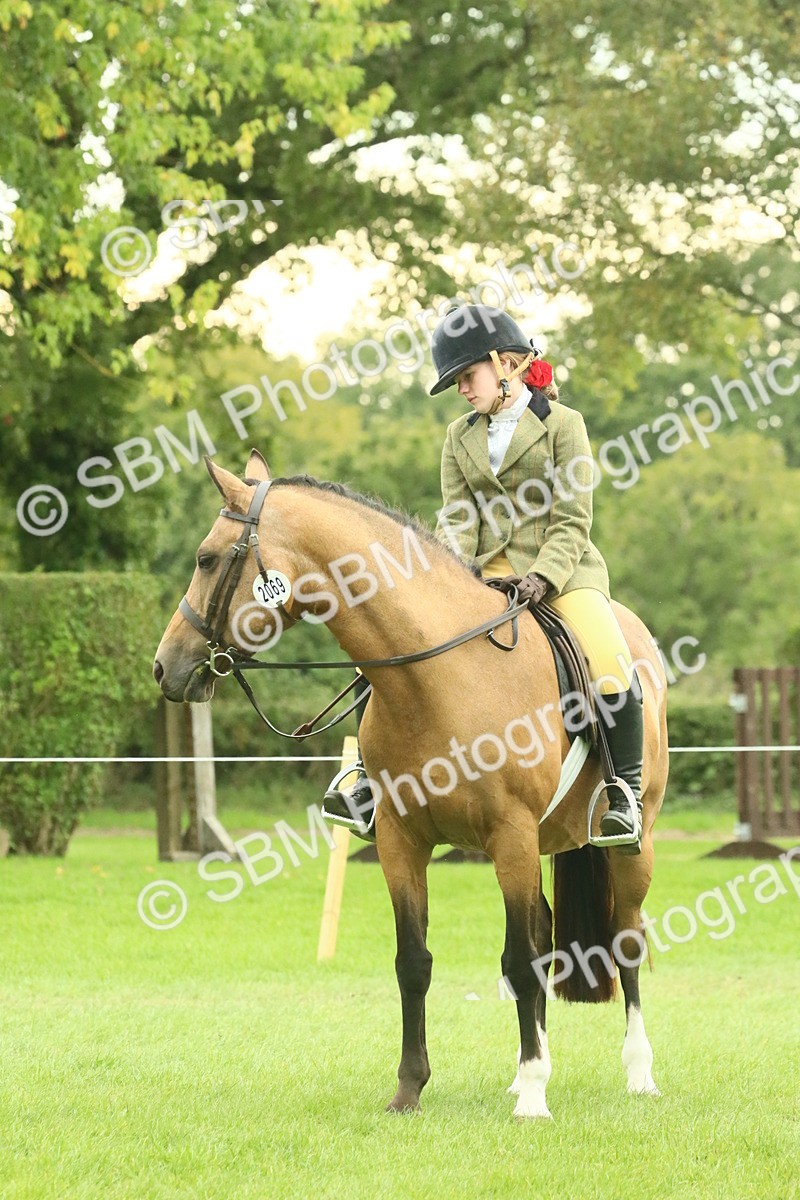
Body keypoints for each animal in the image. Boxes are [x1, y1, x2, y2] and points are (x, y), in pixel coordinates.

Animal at [154, 450, 669, 1120]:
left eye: (207, 559)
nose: (165, 667)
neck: (440, 676)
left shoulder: (510, 838)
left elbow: (519, 961)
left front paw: (534, 1099)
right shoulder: (402, 841)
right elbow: (414, 962)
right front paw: (410, 1089)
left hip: (630, 845)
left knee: (625, 940)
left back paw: (636, 1073)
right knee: (547, 935)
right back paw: (528, 1070)